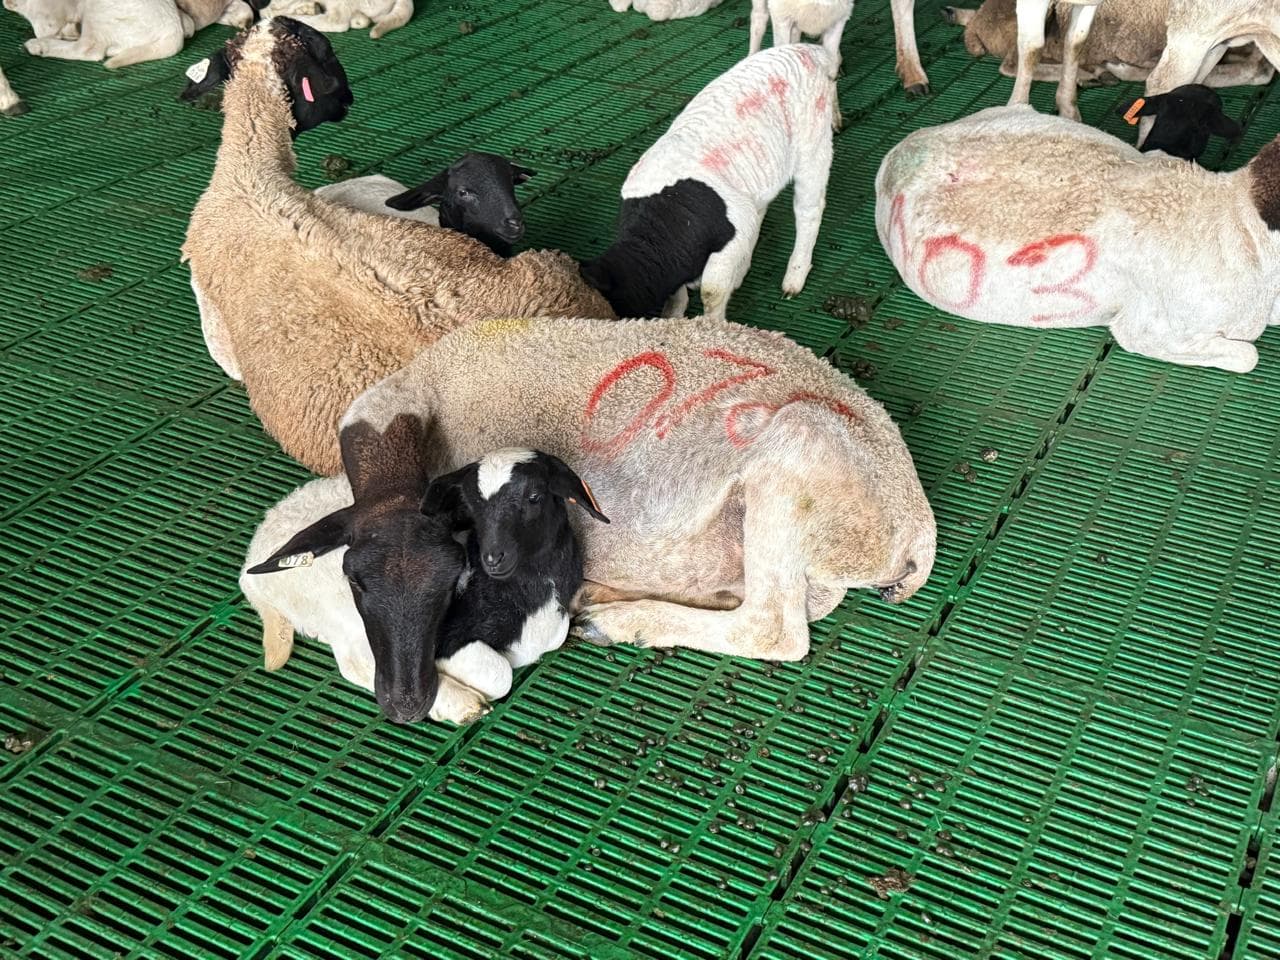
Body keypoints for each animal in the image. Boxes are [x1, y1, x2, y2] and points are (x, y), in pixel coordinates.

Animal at [248, 314, 937, 724]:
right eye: (355, 581)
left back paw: (624, 622)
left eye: (450, 581)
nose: (404, 704)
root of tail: (914, 519)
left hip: (797, 463)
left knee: (775, 626)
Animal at [581, 45, 837, 321]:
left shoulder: (732, 228)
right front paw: (674, 315)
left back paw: (793, 280)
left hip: (814, 146)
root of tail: (808, 50)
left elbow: (711, 291)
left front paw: (711, 323)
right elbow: (677, 294)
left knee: (809, 210)